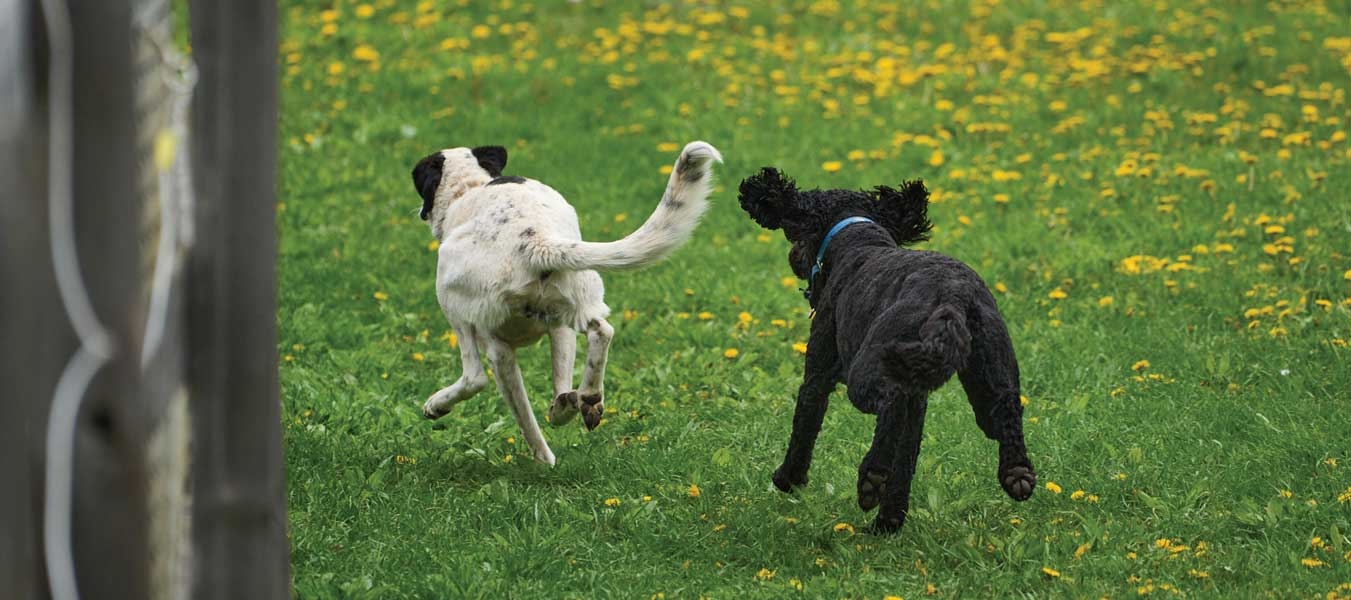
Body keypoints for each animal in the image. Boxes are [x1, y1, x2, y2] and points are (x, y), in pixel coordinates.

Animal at [410, 140, 724, 464]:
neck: (469, 188)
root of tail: (533, 241)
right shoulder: (546, 335)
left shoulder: (500, 351)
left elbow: (522, 416)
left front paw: (543, 459)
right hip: (572, 307)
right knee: (600, 333)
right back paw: (584, 399)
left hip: (452, 297)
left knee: (474, 376)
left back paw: (440, 403)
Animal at [740, 166, 1032, 532]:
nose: (793, 257)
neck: (859, 238)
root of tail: (952, 297)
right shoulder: (918, 399)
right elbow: (906, 457)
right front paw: (890, 520)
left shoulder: (818, 375)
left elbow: (804, 425)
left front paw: (788, 478)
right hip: (991, 374)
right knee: (1006, 410)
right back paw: (1017, 474)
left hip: (866, 373)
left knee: (888, 403)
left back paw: (872, 476)